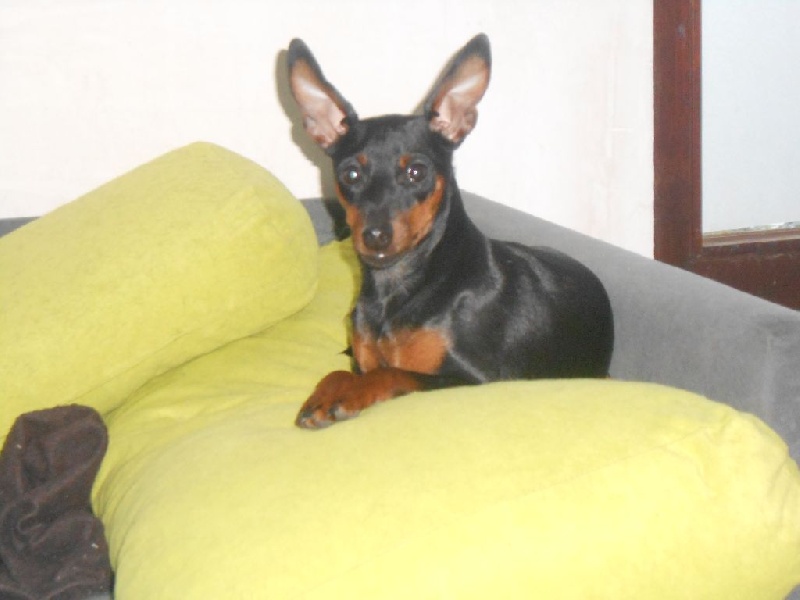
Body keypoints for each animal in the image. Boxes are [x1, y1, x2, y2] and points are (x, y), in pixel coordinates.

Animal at [286, 34, 614, 429]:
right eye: (351, 174)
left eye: (416, 172)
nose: (375, 236)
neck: (397, 288)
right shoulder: (362, 360)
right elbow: (340, 371)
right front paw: (326, 392)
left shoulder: (478, 381)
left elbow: (394, 372)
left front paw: (347, 394)